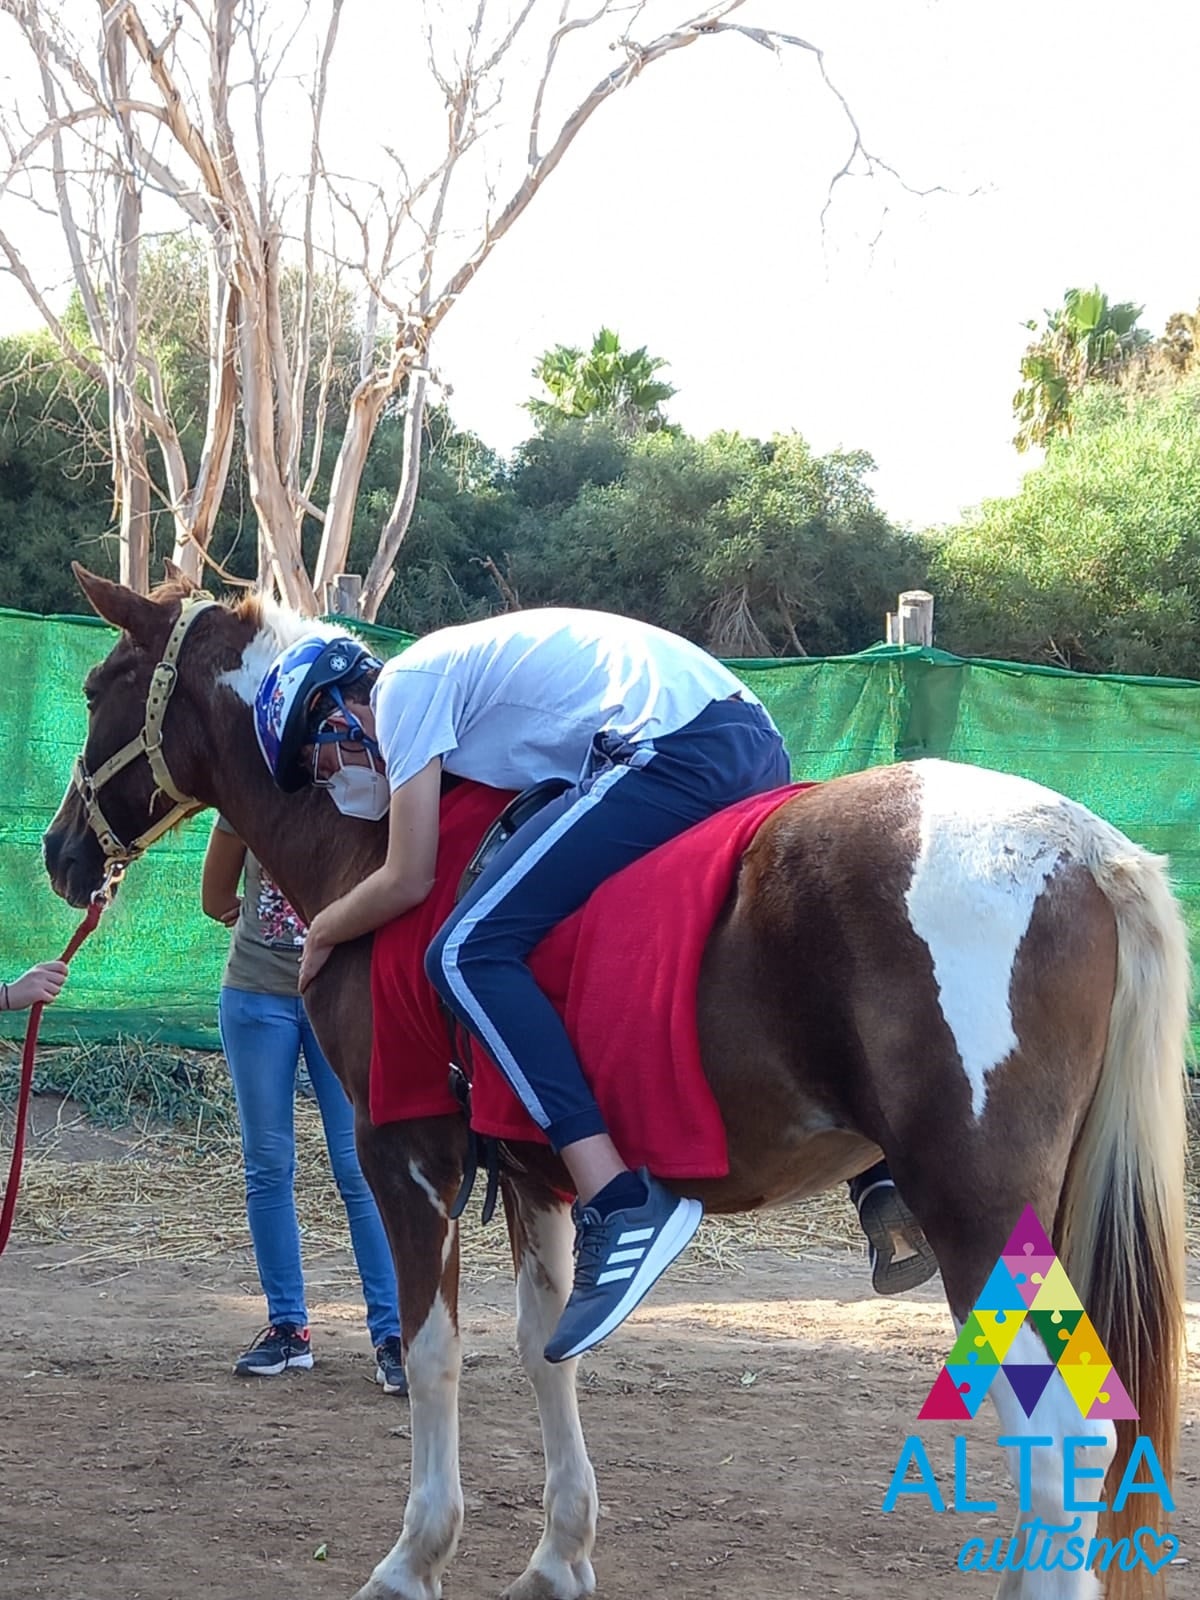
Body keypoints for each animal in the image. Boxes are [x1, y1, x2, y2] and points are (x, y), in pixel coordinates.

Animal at [42, 563, 1188, 1600]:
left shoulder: (406, 1153)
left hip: (979, 1210)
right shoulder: (540, 1174)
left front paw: (416, 1556)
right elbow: (549, 1347)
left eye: (98, 685)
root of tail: (1085, 848)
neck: (371, 836)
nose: (57, 853)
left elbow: (433, 1354)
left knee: (1063, 1433)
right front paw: (558, 1555)